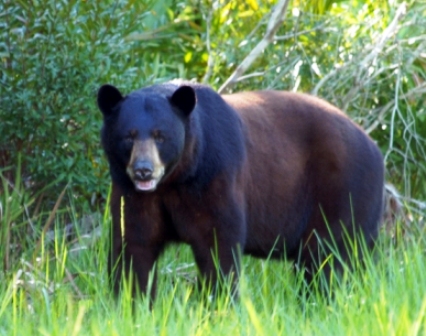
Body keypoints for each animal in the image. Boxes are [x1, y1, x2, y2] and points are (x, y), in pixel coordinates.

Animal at [98, 80, 384, 300]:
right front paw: (132, 306)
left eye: (160, 136)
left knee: (328, 257)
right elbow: (134, 245)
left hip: (344, 193)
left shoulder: (215, 179)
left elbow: (218, 245)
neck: (176, 180)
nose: (143, 170)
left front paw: (218, 304)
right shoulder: (133, 195)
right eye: (128, 136)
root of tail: (373, 145)